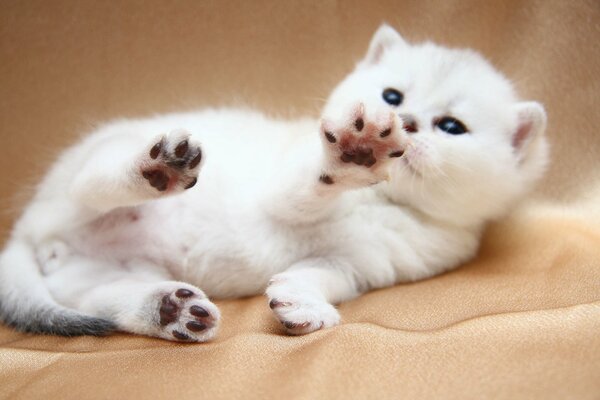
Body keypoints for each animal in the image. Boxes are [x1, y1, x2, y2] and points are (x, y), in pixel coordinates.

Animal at [0, 25, 548, 340]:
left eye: (452, 127)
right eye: (392, 96)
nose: (406, 122)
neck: (384, 201)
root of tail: (26, 233)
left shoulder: (357, 266)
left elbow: (318, 277)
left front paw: (305, 306)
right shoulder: (282, 187)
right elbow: (309, 186)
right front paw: (356, 150)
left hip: (102, 273)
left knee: (103, 302)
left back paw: (169, 310)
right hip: (87, 173)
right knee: (93, 184)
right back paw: (156, 170)